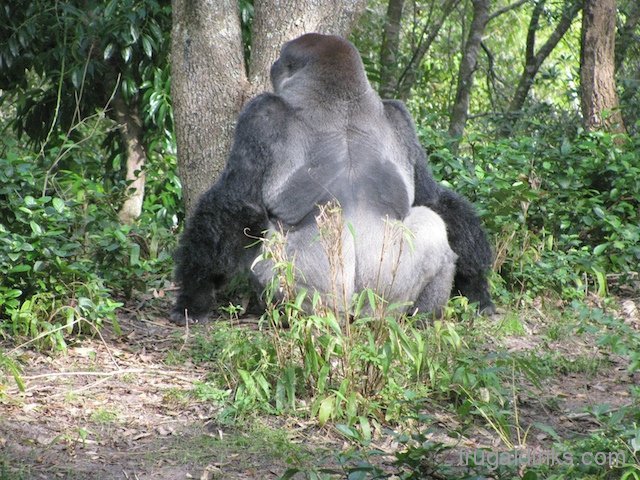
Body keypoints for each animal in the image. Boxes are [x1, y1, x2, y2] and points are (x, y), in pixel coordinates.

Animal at [170, 32, 496, 326]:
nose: (274, 63)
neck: (343, 96)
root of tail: (357, 311)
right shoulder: (400, 116)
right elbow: (433, 197)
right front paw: (477, 287)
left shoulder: (261, 113)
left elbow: (235, 204)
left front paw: (194, 296)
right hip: (385, 299)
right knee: (432, 223)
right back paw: (424, 318)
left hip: (314, 303)